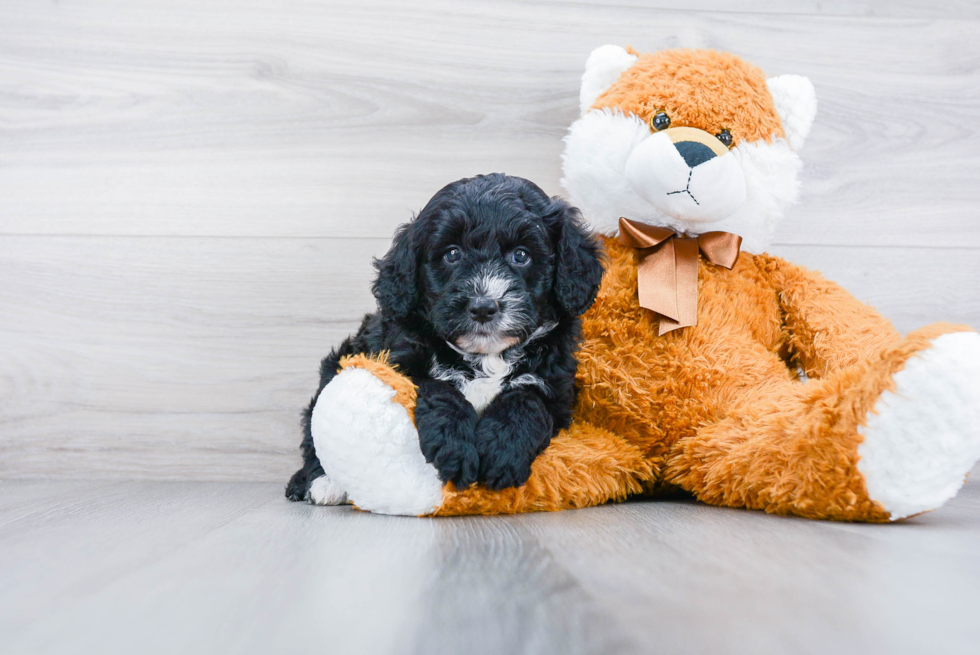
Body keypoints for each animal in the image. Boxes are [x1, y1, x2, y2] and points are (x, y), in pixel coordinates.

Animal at [286, 173, 604, 502]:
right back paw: (319, 482)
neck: (487, 356)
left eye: (521, 255)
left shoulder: (556, 388)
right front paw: (455, 450)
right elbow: (439, 391)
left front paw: (501, 452)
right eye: (452, 254)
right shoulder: (399, 362)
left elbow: (526, 402)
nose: (483, 306)